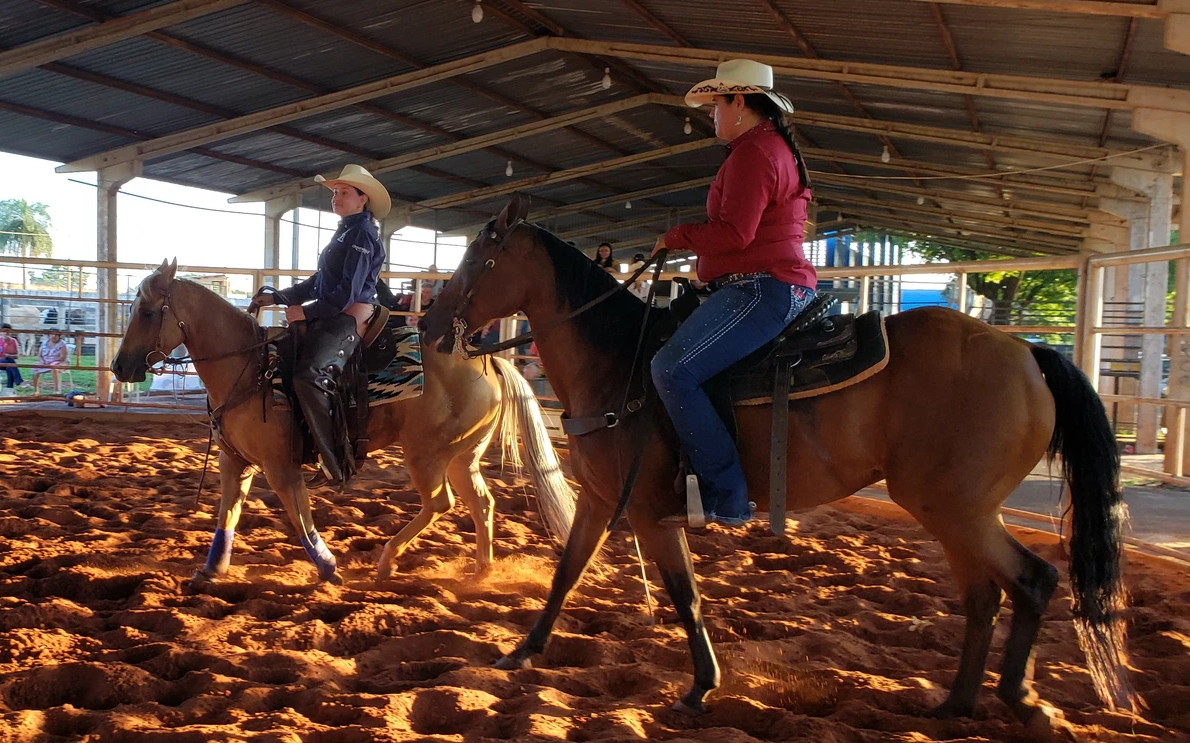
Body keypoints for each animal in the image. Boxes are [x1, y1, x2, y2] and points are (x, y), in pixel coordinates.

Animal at [111, 259, 575, 585]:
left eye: (148, 312)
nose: (119, 367)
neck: (250, 368)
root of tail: (485, 359)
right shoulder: (233, 462)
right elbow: (228, 512)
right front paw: (210, 570)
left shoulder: (280, 467)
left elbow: (299, 516)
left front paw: (329, 566)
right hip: (463, 457)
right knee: (482, 502)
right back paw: (481, 570)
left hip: (427, 456)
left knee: (440, 504)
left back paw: (387, 561)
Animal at [421, 196, 1132, 738]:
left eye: (479, 258)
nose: (428, 321)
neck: (619, 361)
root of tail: (1027, 353)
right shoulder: (600, 498)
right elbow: (567, 572)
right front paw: (523, 651)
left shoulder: (650, 511)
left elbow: (685, 594)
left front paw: (699, 689)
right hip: (957, 511)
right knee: (985, 594)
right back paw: (954, 705)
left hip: (956, 507)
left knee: (1033, 579)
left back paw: (1023, 702)